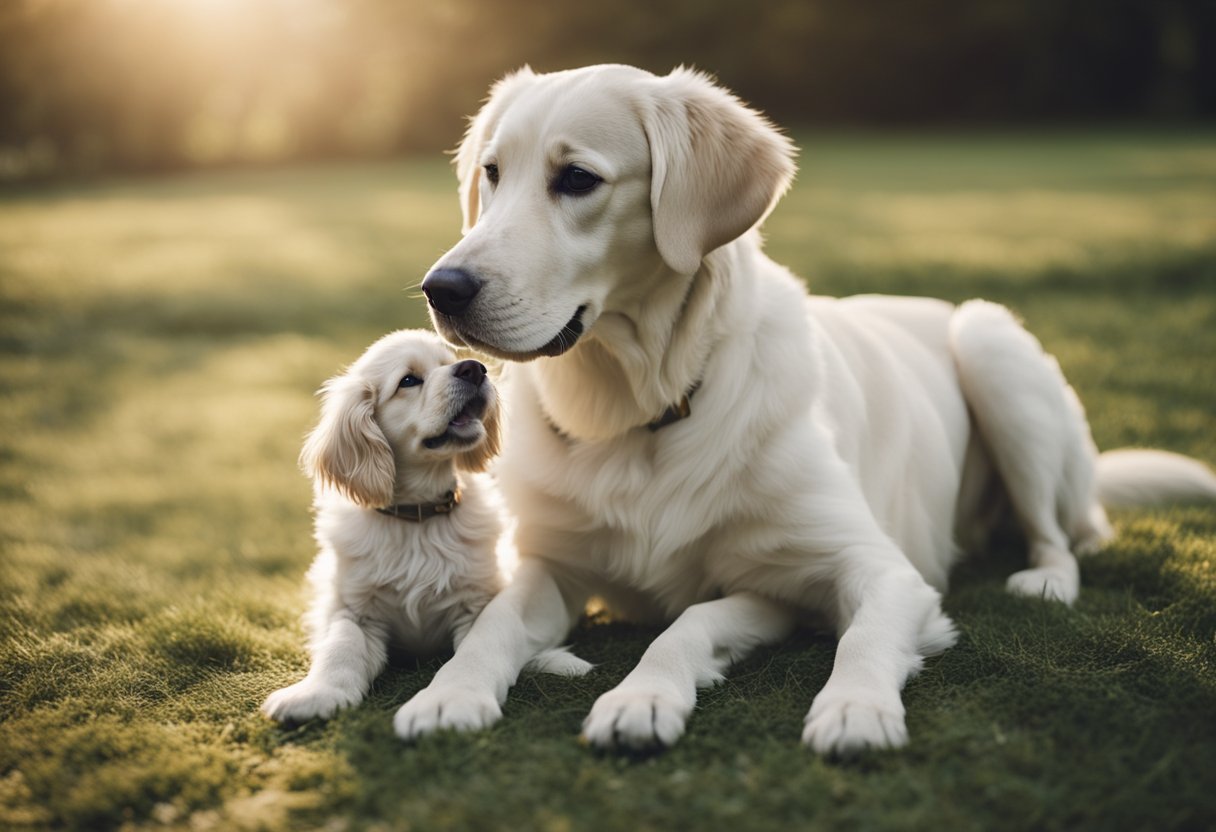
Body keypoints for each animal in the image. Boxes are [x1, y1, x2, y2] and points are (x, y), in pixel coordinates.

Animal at [265, 328, 588, 724]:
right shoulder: (356, 610)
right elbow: (340, 647)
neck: (419, 516)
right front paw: (316, 693)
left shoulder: (475, 602)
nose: (474, 368)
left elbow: (484, 644)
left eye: (452, 361)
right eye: (408, 381)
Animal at [393, 65, 1216, 754]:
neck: (639, 411)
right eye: (492, 173)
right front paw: (451, 693)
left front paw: (852, 708)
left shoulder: (871, 570)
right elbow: (499, 623)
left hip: (991, 344)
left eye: (577, 178)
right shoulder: (560, 567)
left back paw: (1043, 579)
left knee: (1061, 534)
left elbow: (790, 631)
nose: (442, 287)